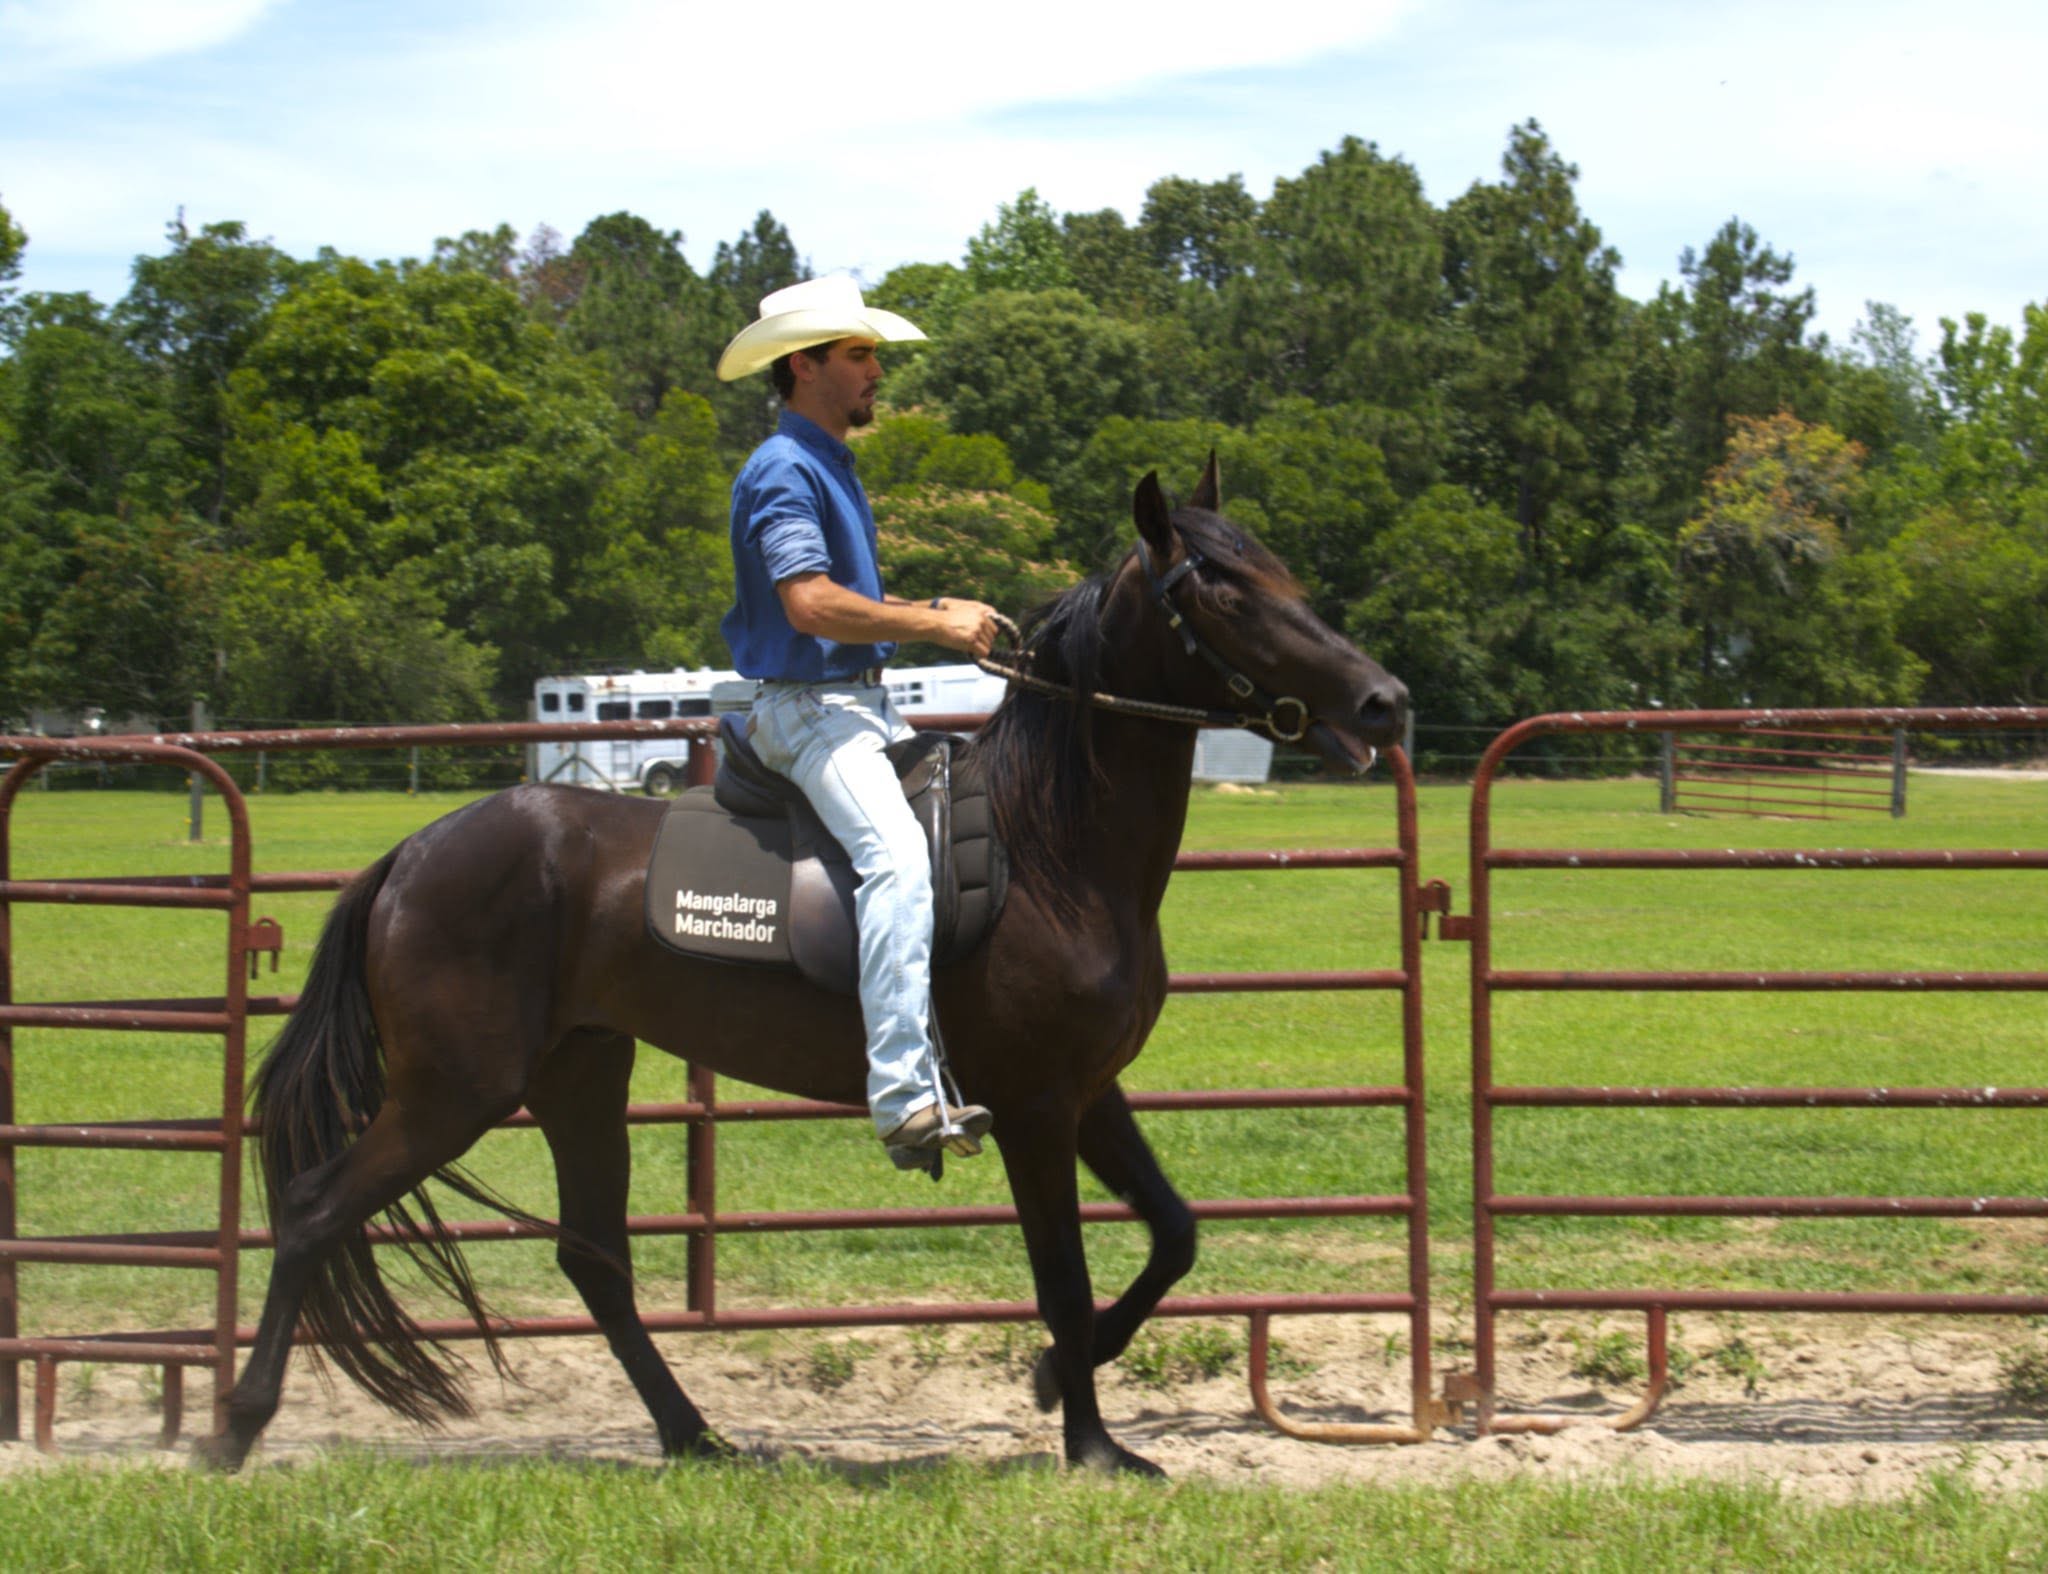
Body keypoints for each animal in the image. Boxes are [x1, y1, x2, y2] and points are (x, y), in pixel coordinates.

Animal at [201, 461, 1408, 1477]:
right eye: (1225, 594)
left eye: (1284, 574)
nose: (1383, 701)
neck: (1052, 846)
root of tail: (410, 856)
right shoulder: (1032, 1105)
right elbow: (1062, 1277)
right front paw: (1095, 1447)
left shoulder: (1087, 1092)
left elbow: (1173, 1233)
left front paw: (1052, 1383)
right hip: (455, 1090)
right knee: (312, 1211)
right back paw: (233, 1428)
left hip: (576, 1077)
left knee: (594, 1261)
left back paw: (694, 1436)